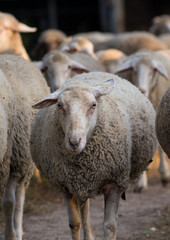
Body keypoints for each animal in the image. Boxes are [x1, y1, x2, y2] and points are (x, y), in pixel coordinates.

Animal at [0, 54, 49, 240]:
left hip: (24, 161)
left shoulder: (12, 165)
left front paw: (11, 234)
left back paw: (18, 231)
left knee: (19, 199)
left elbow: (9, 203)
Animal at [29, 71, 156, 240]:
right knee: (84, 209)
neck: (82, 160)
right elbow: (75, 223)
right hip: (80, 183)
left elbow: (109, 226)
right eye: (59, 105)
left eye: (93, 105)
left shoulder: (114, 183)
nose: (74, 141)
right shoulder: (65, 185)